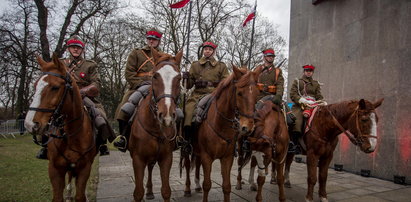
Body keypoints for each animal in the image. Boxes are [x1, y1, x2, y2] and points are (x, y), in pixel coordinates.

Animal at [24, 52, 97, 201]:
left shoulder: (85, 168)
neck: (71, 134)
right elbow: (57, 196)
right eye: (35, 85)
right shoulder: (55, 169)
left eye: (55, 87)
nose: (30, 124)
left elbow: (80, 195)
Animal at [127, 48, 182, 201]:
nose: (167, 115)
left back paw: (150, 191)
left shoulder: (166, 158)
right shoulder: (137, 159)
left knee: (151, 167)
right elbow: (138, 193)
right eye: (155, 76)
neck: (156, 128)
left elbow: (166, 191)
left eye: (179, 78)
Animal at [184, 67, 262, 202]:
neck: (220, 124)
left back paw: (197, 186)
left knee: (197, 164)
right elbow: (207, 184)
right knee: (188, 166)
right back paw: (188, 189)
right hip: (187, 149)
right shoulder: (207, 157)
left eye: (257, 94)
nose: (248, 127)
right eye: (239, 93)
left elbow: (226, 186)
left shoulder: (227, 158)